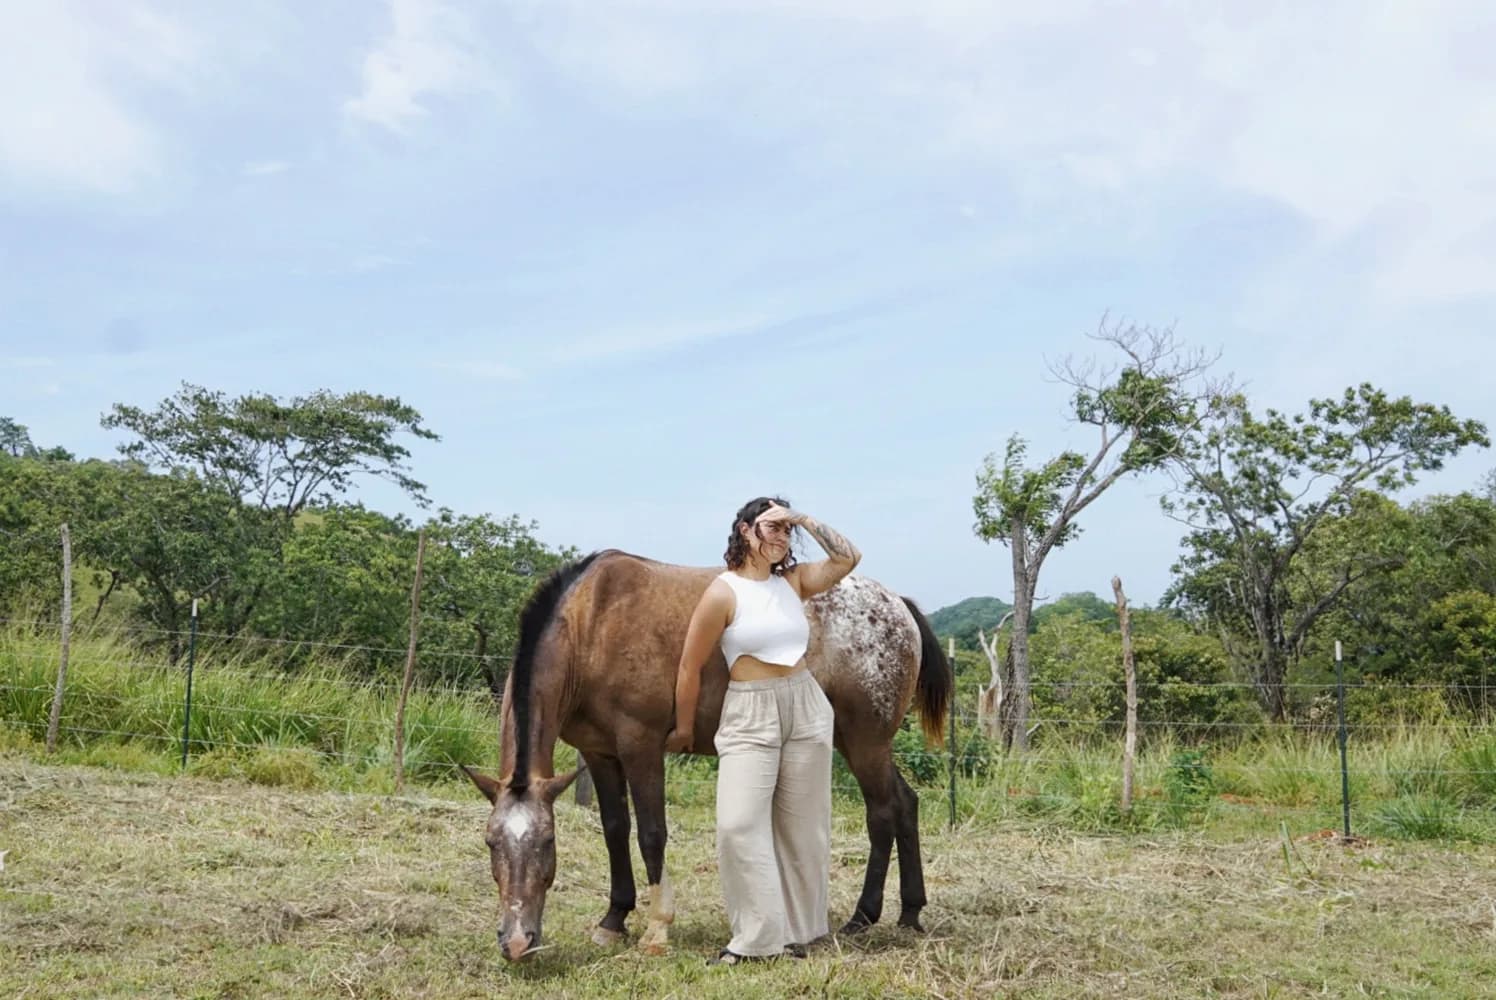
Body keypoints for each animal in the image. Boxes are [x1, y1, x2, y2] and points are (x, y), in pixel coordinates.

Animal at [461, 549, 951, 961]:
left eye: (547, 842)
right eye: (490, 843)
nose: (517, 941)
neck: (592, 622)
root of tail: (897, 604)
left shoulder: (640, 746)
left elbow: (651, 834)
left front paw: (657, 928)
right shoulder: (598, 753)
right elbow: (615, 830)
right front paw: (614, 919)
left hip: (865, 741)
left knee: (882, 812)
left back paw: (862, 916)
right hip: (857, 742)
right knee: (905, 804)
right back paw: (910, 913)